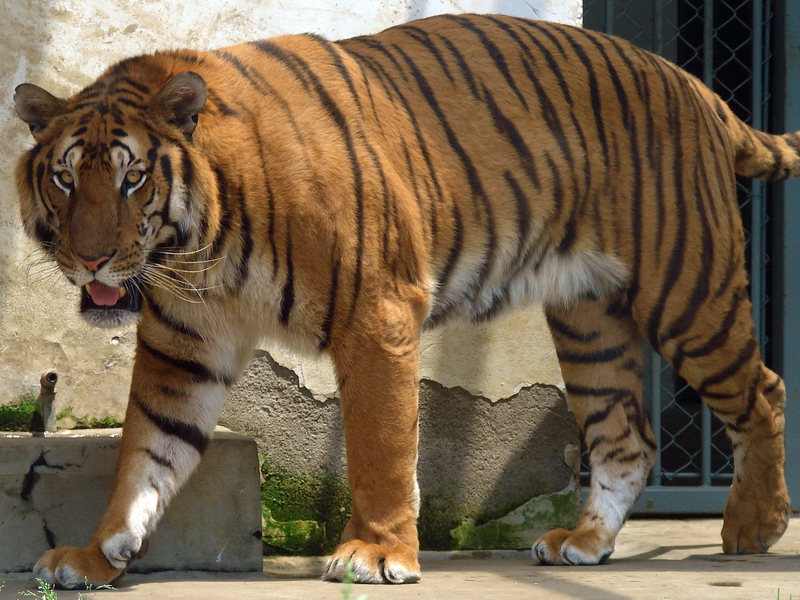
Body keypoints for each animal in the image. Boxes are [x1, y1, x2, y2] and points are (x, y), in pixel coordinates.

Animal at [13, 12, 794, 588]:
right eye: (63, 178)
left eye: (133, 177)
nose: (92, 258)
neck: (201, 254)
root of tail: (695, 86)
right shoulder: (184, 348)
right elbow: (145, 455)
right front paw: (95, 555)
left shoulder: (375, 313)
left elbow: (382, 447)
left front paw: (376, 554)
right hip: (589, 318)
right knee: (624, 437)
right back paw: (585, 540)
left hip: (687, 291)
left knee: (763, 391)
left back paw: (753, 528)